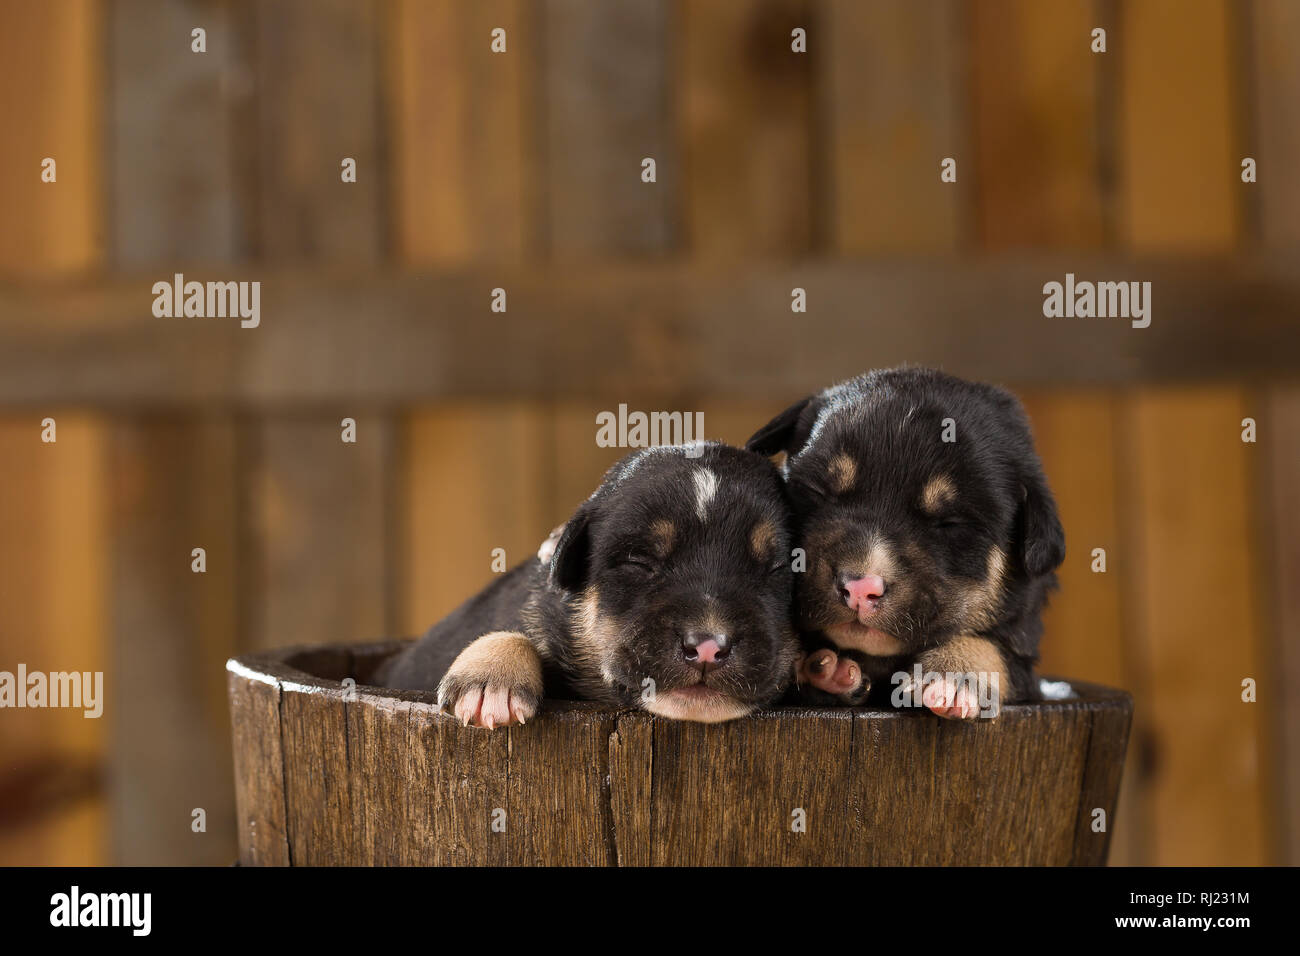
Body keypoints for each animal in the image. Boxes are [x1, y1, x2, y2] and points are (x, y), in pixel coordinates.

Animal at [748, 369, 1060, 723]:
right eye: (816, 491)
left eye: (950, 523)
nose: (860, 589)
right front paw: (823, 669)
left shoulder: (1024, 648)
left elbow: (998, 650)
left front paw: (953, 674)